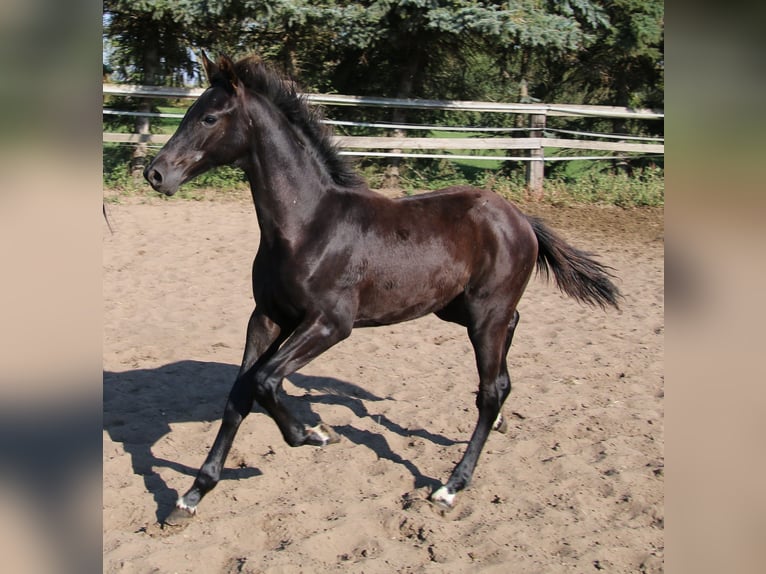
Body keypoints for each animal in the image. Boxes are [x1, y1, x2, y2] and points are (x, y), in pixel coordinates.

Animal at [146, 53, 624, 528]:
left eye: (208, 117)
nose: (156, 173)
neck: (307, 225)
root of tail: (521, 218)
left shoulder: (330, 324)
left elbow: (266, 381)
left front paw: (314, 433)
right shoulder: (266, 317)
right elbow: (240, 394)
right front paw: (191, 496)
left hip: (484, 314)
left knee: (490, 391)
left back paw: (451, 486)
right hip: (457, 308)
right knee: (508, 353)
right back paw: (502, 422)